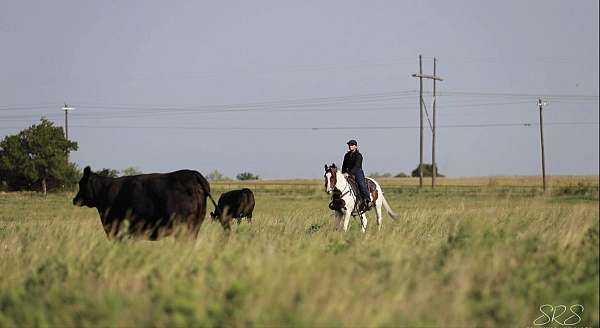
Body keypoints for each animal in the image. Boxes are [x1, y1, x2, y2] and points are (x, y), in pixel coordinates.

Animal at [72, 167, 218, 238]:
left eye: (81, 183)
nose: (74, 199)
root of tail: (193, 174)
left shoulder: (116, 230)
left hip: (183, 226)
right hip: (195, 225)